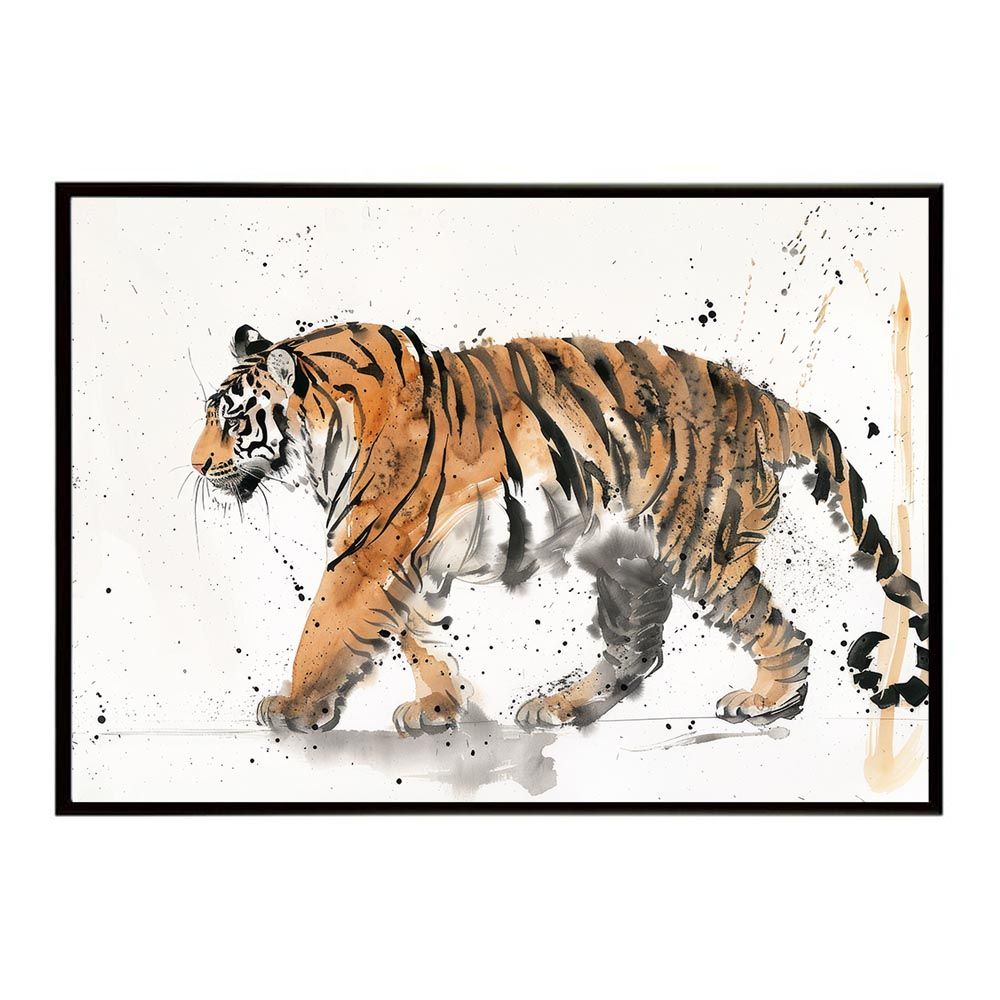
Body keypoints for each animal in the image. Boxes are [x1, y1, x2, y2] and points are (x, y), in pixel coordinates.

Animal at [190, 321, 930, 736]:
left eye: (231, 419)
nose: (195, 464)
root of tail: (761, 397)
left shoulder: (367, 552)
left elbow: (324, 628)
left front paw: (294, 705)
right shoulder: (407, 557)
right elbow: (419, 637)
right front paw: (441, 708)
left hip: (703, 549)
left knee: (778, 629)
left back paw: (767, 701)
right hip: (626, 558)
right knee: (637, 652)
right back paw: (560, 708)